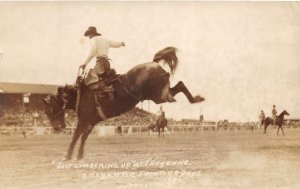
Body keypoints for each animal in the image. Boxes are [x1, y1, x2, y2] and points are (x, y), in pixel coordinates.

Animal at [42, 46, 205, 159]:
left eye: (48, 110)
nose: (56, 127)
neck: (80, 95)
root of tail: (153, 64)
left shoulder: (83, 120)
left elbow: (76, 136)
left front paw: (68, 155)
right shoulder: (91, 122)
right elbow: (83, 137)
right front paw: (79, 155)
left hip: (157, 96)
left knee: (176, 89)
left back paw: (194, 99)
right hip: (157, 95)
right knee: (178, 86)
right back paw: (197, 99)